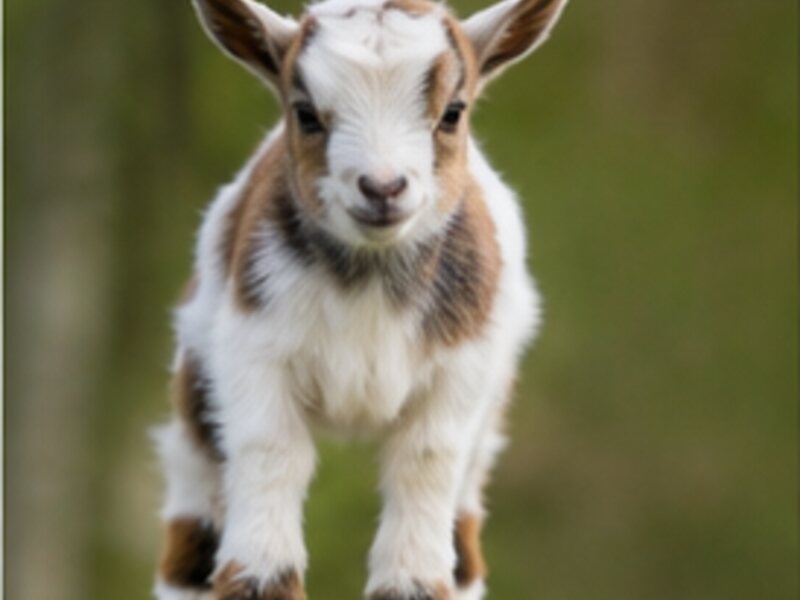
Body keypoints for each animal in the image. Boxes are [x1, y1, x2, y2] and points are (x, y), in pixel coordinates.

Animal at [154, 0, 568, 598]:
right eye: (305, 113)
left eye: (453, 112)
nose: (382, 188)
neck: (370, 277)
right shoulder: (251, 352)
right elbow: (268, 477)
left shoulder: (463, 372)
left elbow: (424, 480)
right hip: (195, 383)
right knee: (191, 530)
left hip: (489, 418)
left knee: (463, 535)